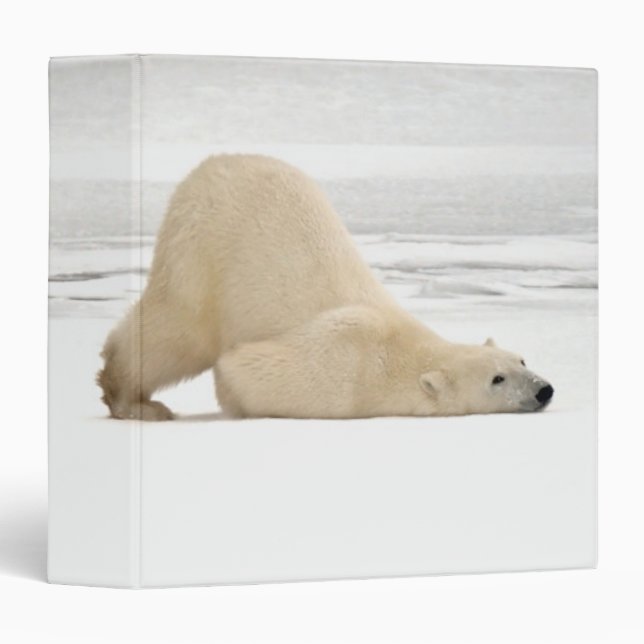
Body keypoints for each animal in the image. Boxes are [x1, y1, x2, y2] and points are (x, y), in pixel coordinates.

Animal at [97, 154, 554, 420]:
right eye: (497, 379)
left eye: (522, 360)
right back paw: (135, 403)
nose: (544, 390)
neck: (399, 351)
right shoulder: (344, 366)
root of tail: (213, 163)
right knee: (176, 332)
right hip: (202, 250)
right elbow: (242, 367)